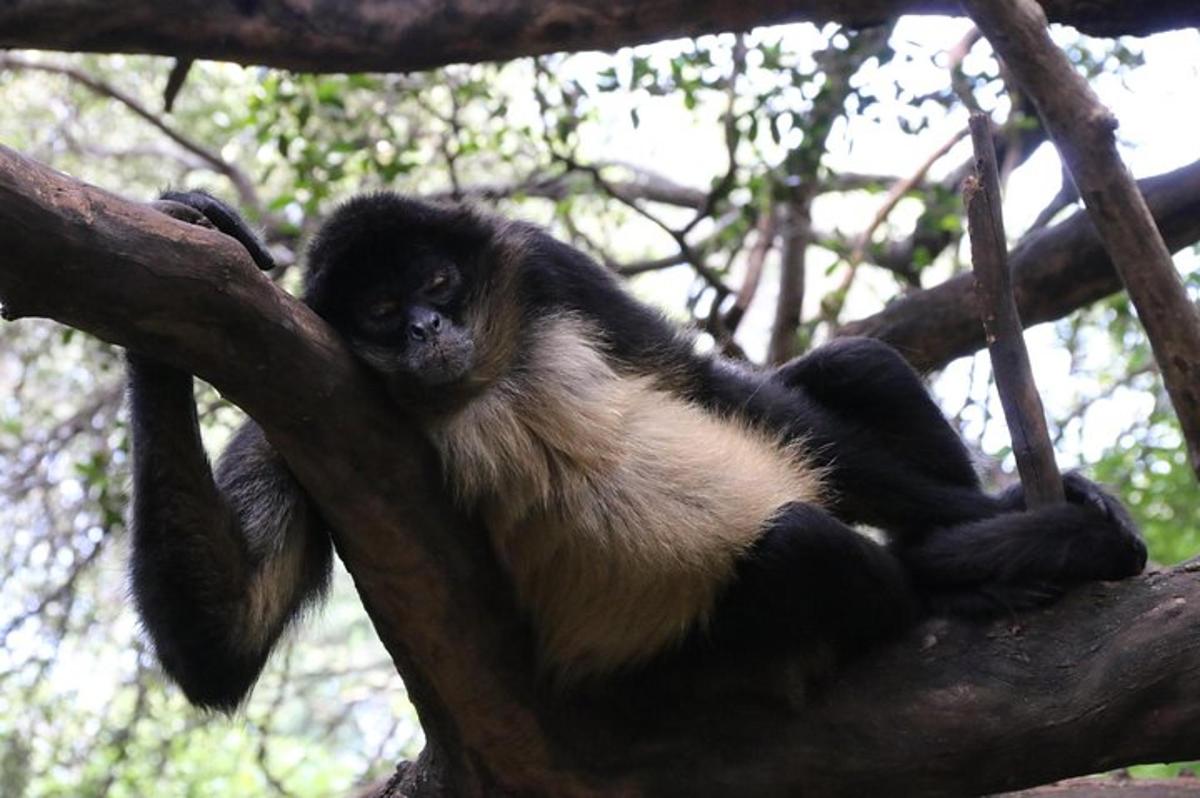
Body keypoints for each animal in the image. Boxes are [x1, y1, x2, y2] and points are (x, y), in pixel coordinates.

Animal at [126, 192, 1147, 710]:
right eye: (381, 310)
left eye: (438, 282)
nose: (423, 329)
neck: (478, 377)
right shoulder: (305, 400)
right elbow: (222, 642)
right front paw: (167, 300)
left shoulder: (542, 262)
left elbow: (699, 382)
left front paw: (1033, 515)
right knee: (804, 544)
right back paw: (947, 587)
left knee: (856, 365)